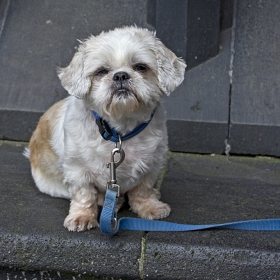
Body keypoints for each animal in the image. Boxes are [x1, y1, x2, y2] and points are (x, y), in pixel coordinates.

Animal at [24, 26, 186, 232]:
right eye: (101, 71)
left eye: (140, 67)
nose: (121, 75)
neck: (120, 130)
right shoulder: (77, 170)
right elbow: (84, 195)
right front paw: (82, 217)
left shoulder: (151, 164)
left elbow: (143, 190)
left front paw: (150, 207)